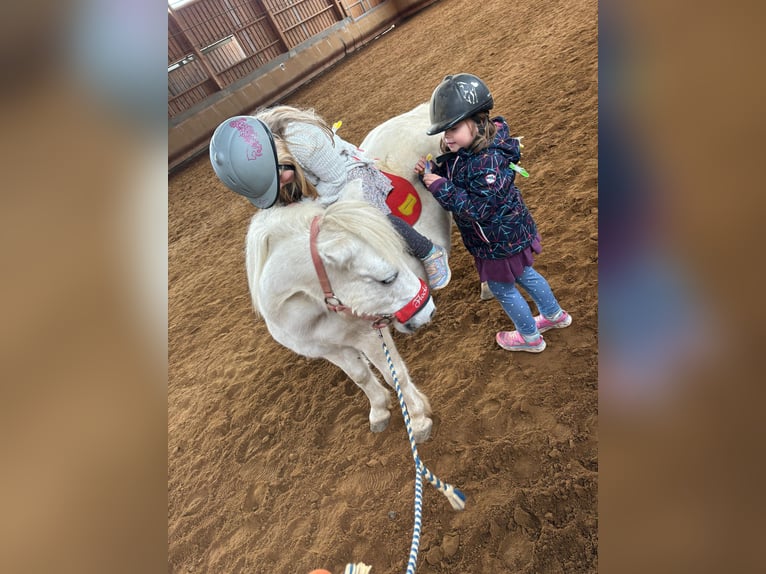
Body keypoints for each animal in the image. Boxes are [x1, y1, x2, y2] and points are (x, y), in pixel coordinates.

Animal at [246, 104, 450, 446]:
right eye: (386, 279)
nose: (428, 312)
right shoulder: (329, 348)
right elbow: (360, 376)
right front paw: (379, 410)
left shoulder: (367, 334)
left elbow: (391, 371)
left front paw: (418, 418)